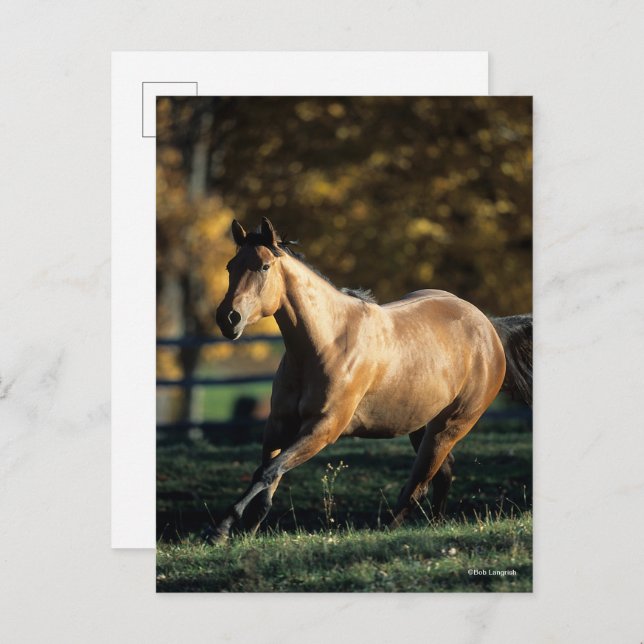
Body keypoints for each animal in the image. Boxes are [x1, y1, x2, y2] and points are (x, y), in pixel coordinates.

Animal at [212, 217, 532, 541]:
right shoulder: (278, 424)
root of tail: (488, 326)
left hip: (449, 427)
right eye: (230, 266)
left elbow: (268, 471)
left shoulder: (323, 428)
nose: (228, 318)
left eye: (264, 266)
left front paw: (222, 528)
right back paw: (434, 525)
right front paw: (247, 529)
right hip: (420, 425)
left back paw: (388, 529)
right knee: (442, 473)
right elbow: (268, 476)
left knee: (418, 483)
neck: (326, 343)